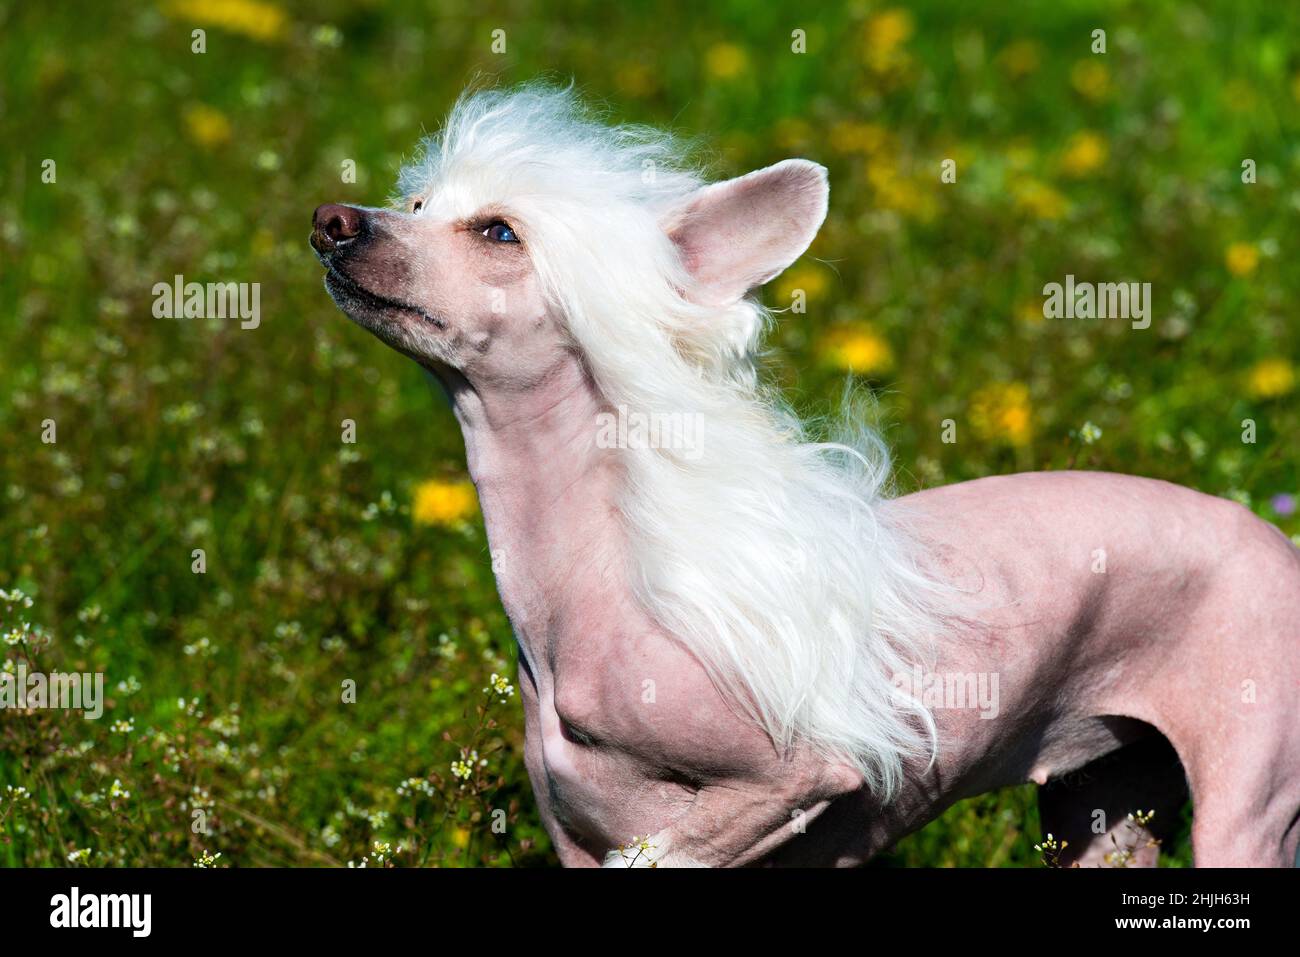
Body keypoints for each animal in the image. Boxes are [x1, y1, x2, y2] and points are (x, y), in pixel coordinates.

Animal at [314, 83, 1300, 868]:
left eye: (498, 232)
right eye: (416, 200)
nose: (333, 221)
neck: (590, 587)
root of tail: (1278, 541)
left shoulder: (796, 777)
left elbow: (674, 846)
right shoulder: (576, 840)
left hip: (1248, 808)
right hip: (1102, 806)